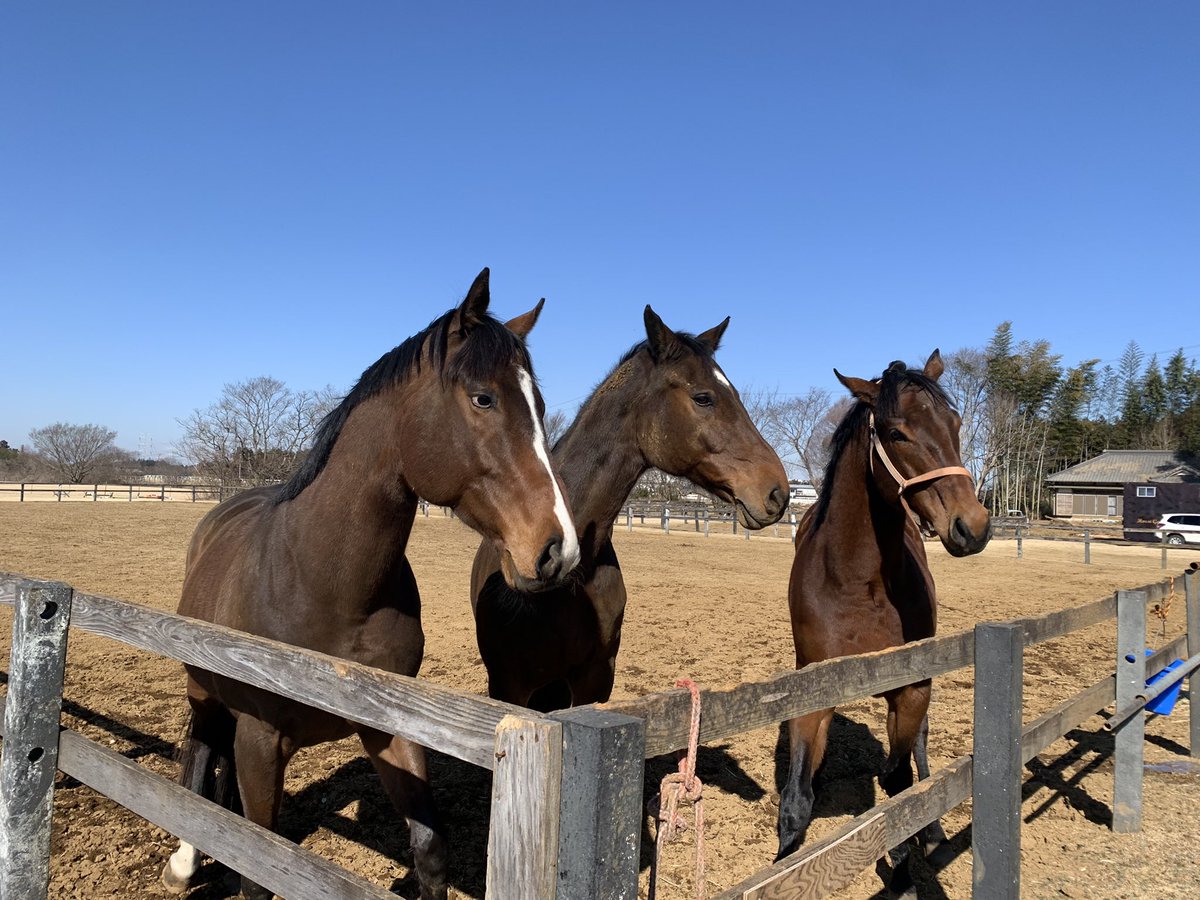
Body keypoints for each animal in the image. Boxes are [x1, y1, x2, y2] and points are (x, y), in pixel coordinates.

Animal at [160, 268, 580, 900]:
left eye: (541, 405)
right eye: (483, 397)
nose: (559, 549)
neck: (323, 588)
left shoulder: (391, 728)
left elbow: (430, 850)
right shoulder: (259, 740)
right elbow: (255, 867)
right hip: (203, 691)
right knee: (201, 750)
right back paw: (184, 860)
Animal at [776, 351, 990, 889]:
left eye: (955, 423)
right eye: (896, 433)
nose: (973, 526)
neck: (860, 583)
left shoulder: (911, 689)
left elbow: (899, 785)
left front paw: (903, 867)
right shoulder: (814, 692)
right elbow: (796, 800)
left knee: (919, 754)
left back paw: (930, 832)